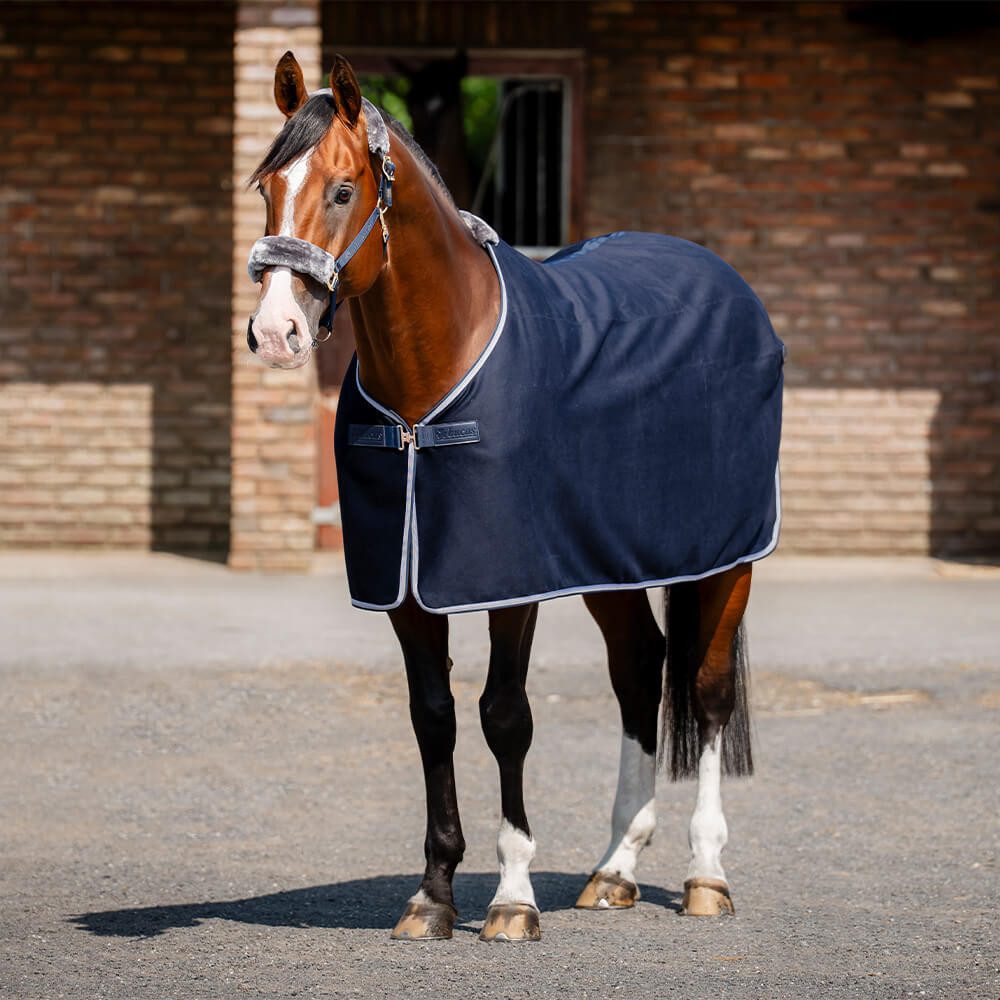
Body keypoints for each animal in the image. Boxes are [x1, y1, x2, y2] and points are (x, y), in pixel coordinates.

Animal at [245, 51, 783, 942]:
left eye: (344, 190)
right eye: (265, 187)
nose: (276, 332)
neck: (431, 387)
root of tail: (730, 286)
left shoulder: (510, 583)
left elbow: (504, 715)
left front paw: (512, 897)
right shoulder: (409, 590)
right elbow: (434, 714)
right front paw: (432, 895)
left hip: (725, 560)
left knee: (705, 694)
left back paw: (706, 874)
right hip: (611, 566)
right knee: (639, 671)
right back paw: (614, 869)